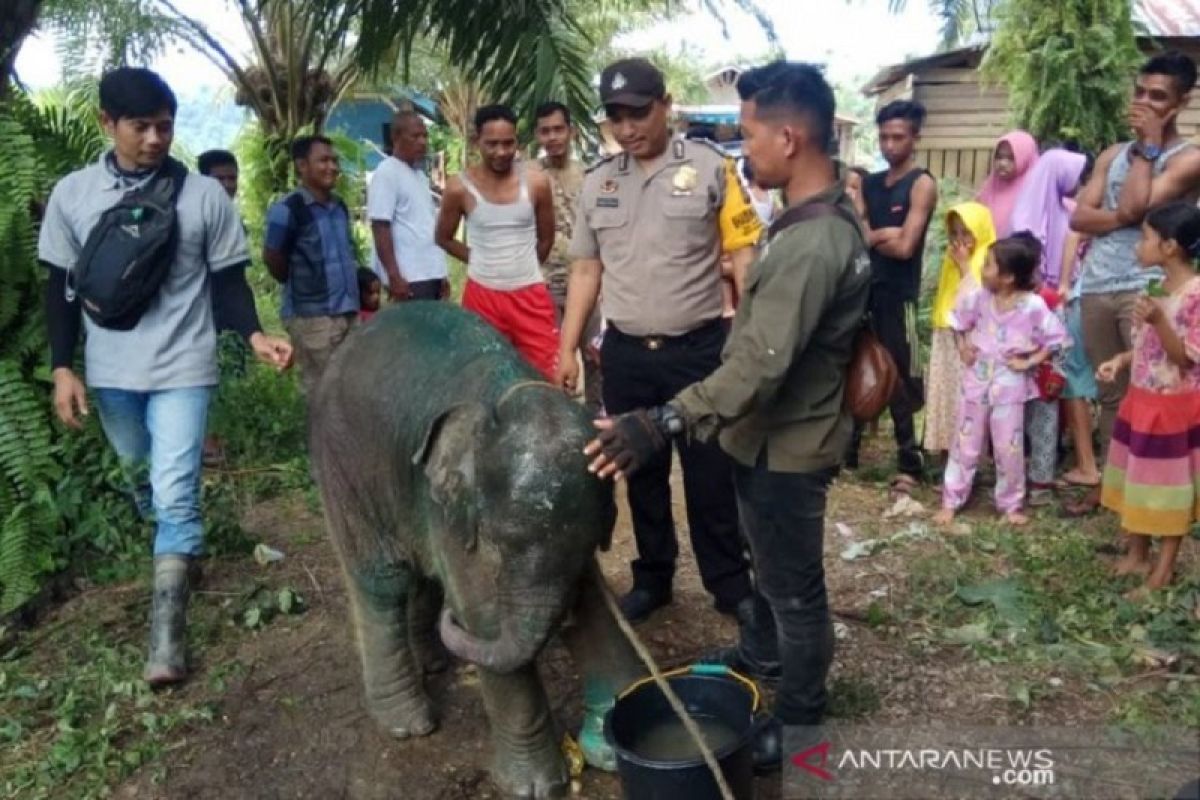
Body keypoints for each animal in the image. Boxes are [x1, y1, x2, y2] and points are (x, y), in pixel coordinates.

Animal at [314, 303, 643, 796]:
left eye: (597, 536)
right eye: (497, 541)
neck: (506, 392)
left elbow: (592, 607)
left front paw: (609, 751)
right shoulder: (448, 501)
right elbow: (485, 616)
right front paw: (534, 788)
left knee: (423, 580)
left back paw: (433, 664)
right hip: (344, 469)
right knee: (385, 582)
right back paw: (408, 724)